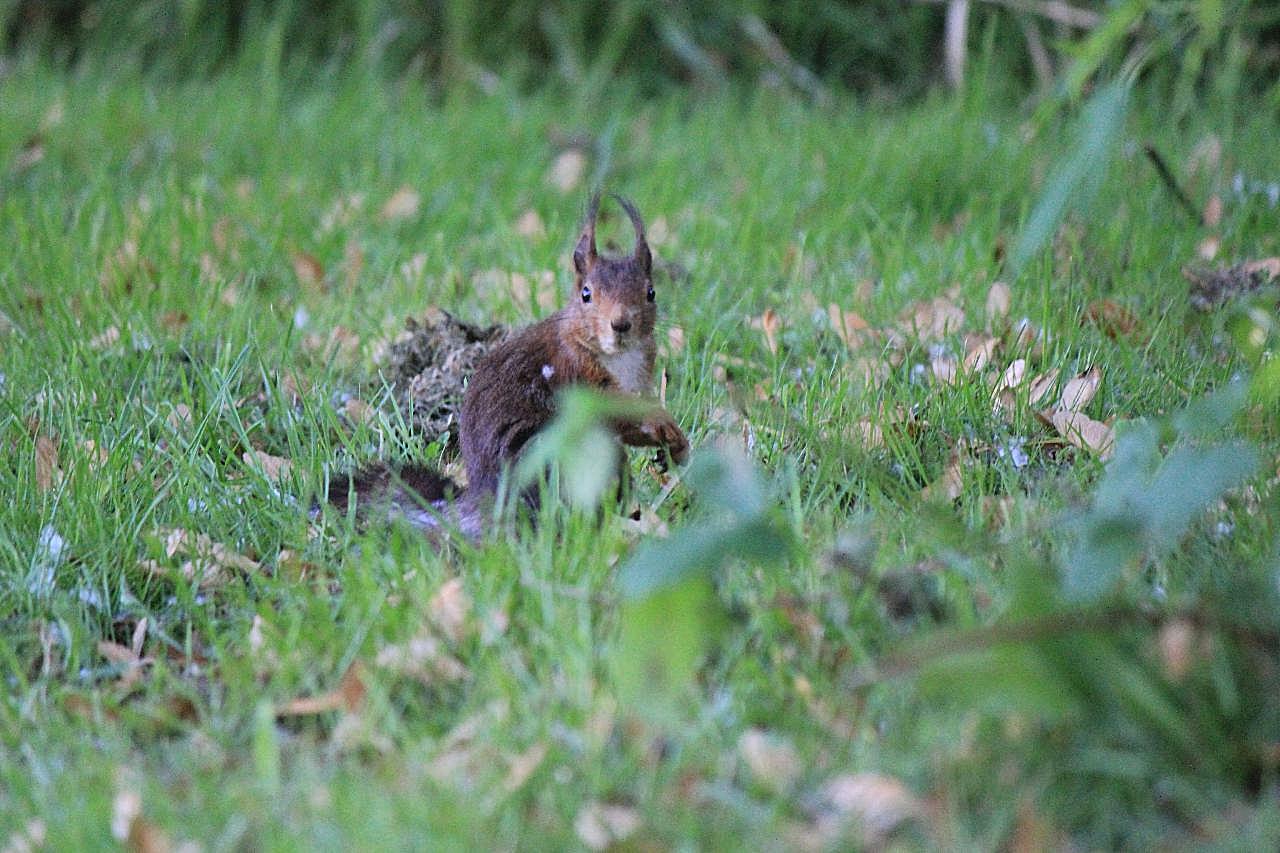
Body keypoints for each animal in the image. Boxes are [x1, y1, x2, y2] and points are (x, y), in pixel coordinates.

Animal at [330, 195, 691, 535]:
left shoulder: (638, 378)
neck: (619, 358)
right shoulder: (576, 376)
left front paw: (675, 444)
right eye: (586, 294)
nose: (620, 325)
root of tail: (488, 503)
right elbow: (615, 411)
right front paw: (662, 423)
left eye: (651, 292)